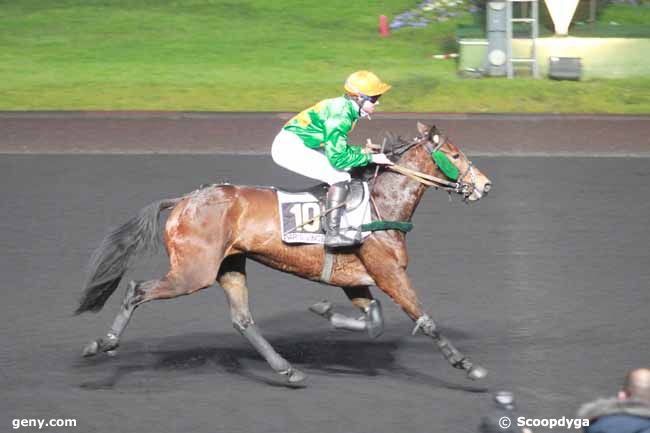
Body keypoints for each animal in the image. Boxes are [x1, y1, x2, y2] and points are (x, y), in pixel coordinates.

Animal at [76, 121, 492, 384]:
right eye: (455, 155)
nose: (485, 185)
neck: (379, 205)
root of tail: (183, 200)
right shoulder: (389, 273)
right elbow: (424, 319)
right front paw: (467, 365)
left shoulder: (355, 280)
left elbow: (374, 322)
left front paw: (325, 312)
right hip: (192, 272)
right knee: (137, 290)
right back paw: (102, 343)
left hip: (229, 266)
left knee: (243, 320)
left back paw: (287, 370)